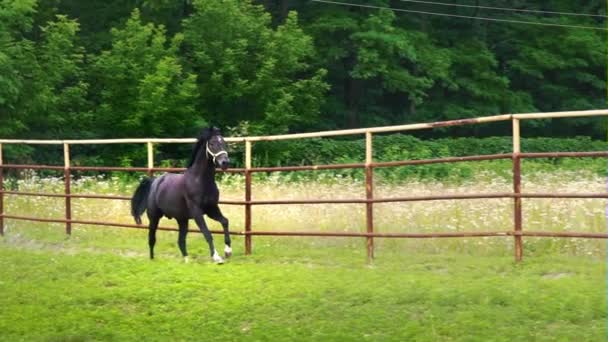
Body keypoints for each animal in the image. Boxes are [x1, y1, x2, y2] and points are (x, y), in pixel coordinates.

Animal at [129, 127, 232, 264]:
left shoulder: (212, 209)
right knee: (152, 238)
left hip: (182, 220)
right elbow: (207, 233)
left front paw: (228, 251)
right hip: (154, 217)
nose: (225, 162)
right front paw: (216, 257)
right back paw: (152, 260)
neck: (200, 181)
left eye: (224, 142)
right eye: (212, 144)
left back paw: (187, 260)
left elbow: (225, 221)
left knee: (180, 241)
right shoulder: (197, 212)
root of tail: (155, 181)